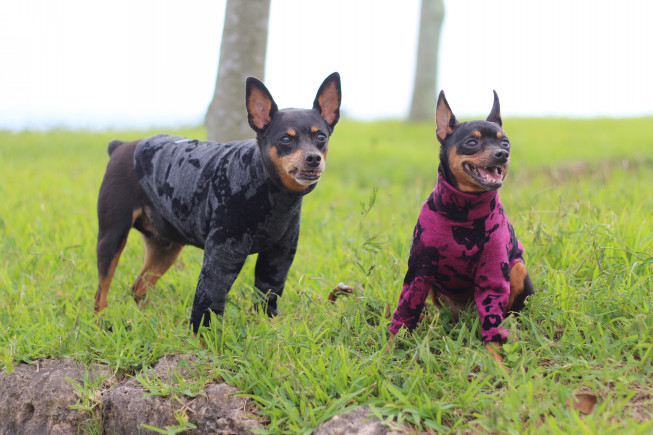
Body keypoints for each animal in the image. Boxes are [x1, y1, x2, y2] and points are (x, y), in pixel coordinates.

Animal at [95, 73, 342, 332]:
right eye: (286, 139)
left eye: (321, 137)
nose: (313, 158)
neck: (264, 182)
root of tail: (121, 146)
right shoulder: (223, 252)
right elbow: (208, 304)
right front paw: (203, 338)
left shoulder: (278, 257)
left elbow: (267, 299)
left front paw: (268, 329)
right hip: (112, 236)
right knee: (101, 293)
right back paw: (101, 324)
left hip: (166, 247)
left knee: (138, 288)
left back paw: (148, 321)